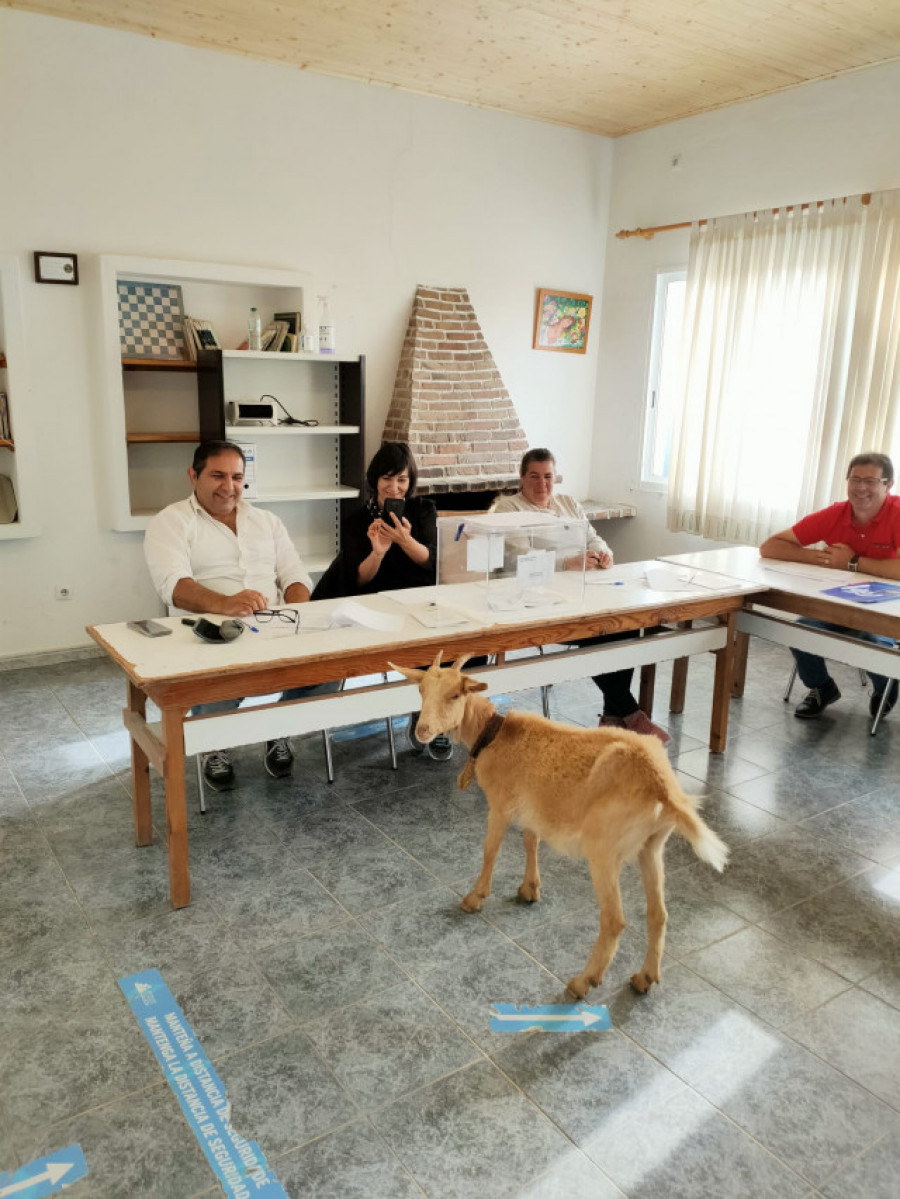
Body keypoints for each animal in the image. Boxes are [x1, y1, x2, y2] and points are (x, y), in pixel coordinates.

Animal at [390, 652, 728, 997]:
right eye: (421, 692)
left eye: (455, 695)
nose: (423, 730)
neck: (494, 733)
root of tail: (661, 785)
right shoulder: (532, 807)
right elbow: (531, 841)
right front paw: (530, 889)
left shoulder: (500, 805)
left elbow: (490, 851)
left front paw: (475, 897)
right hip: (652, 845)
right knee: (658, 914)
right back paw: (645, 977)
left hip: (603, 850)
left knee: (614, 920)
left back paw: (583, 981)